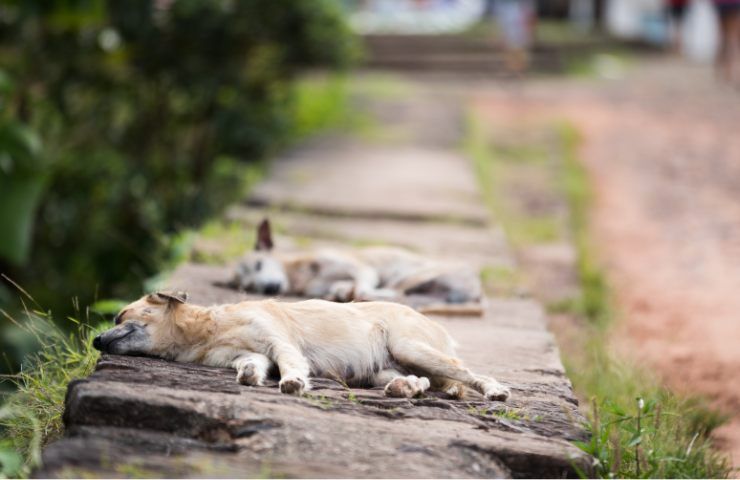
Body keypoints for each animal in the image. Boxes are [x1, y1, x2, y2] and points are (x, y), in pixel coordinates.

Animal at [91, 292, 508, 402]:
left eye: (120, 316)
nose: (94, 340)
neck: (208, 331)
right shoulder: (248, 354)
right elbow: (251, 365)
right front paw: (249, 377)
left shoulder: (279, 342)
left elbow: (290, 364)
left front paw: (291, 383)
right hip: (383, 368)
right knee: (421, 381)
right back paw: (406, 388)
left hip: (410, 346)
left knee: (466, 372)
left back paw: (495, 389)